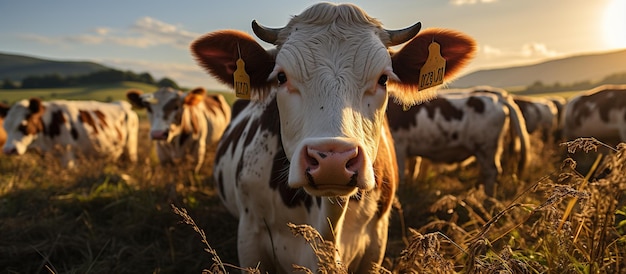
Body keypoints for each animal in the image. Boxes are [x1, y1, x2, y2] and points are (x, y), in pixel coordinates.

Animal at [0, 98, 138, 167]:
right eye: (5, 127)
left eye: (24, 126)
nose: (8, 150)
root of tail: (125, 105)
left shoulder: (68, 154)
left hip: (131, 147)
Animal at [388, 88, 528, 195]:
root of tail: (495, 98)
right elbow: (412, 171)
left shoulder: (399, 146)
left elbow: (400, 175)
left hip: (486, 148)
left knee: (491, 172)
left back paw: (488, 199)